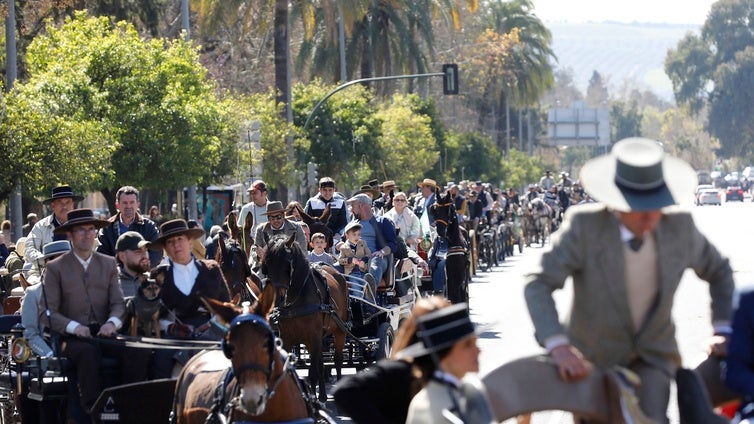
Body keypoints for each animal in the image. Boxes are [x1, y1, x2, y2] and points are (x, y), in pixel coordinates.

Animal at [262, 234, 350, 402]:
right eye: (266, 265)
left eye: (287, 265)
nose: (276, 299)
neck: (297, 299)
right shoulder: (287, 339)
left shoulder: (313, 337)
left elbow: (313, 372)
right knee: (321, 363)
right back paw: (322, 395)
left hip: (339, 331)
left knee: (337, 359)